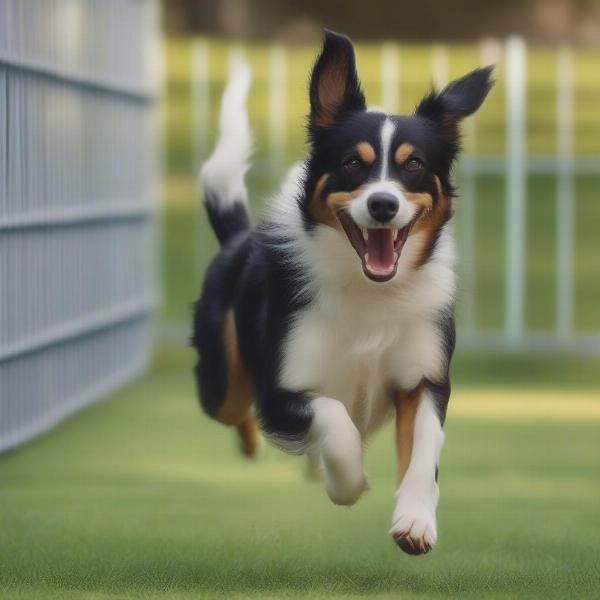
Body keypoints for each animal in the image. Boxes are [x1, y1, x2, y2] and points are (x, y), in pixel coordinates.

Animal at [192, 30, 492, 556]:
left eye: (414, 164)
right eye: (353, 162)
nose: (383, 204)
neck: (369, 290)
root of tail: (237, 239)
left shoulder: (424, 378)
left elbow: (424, 448)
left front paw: (415, 521)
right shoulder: (280, 392)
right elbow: (333, 419)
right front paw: (346, 483)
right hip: (222, 377)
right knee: (234, 408)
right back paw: (262, 447)